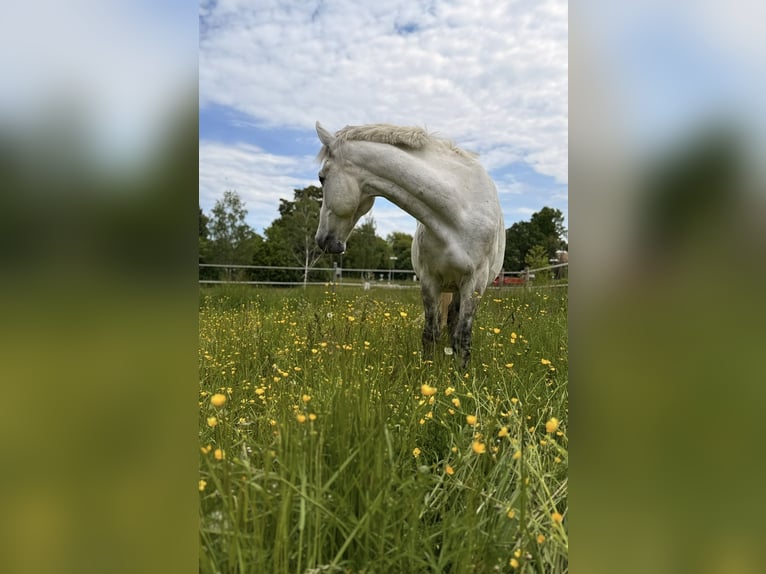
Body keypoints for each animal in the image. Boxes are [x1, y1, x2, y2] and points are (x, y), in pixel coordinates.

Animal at [314, 122, 505, 367]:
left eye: (322, 177)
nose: (321, 240)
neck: (459, 214)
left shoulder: (475, 284)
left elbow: (462, 340)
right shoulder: (429, 281)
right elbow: (430, 333)